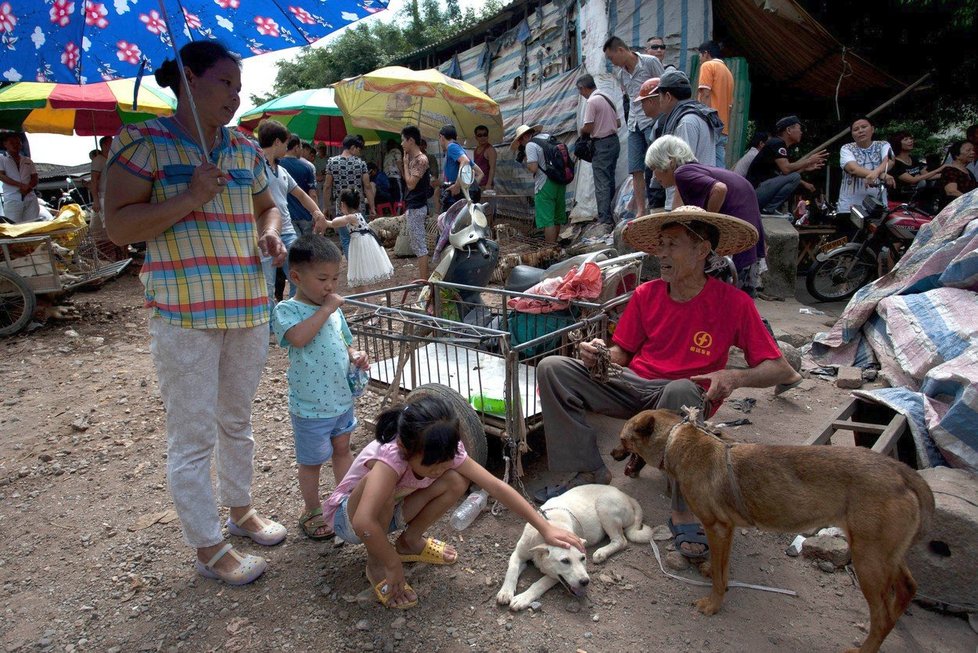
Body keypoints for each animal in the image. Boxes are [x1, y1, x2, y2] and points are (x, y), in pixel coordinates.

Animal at [496, 482, 648, 608]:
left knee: (621, 540)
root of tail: (625, 495)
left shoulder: (554, 575)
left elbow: (540, 583)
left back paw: (602, 553)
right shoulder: (518, 553)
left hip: (605, 506)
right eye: (565, 561)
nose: (585, 581)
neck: (551, 528)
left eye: (583, 558)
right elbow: (512, 570)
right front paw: (505, 592)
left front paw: (523, 598)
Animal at [608, 410, 936, 648]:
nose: (611, 453)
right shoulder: (727, 529)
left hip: (868, 559)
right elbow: (721, 566)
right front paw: (714, 573)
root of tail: (900, 471)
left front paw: (714, 604)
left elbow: (720, 576)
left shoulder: (717, 527)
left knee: (881, 618)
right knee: (907, 588)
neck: (677, 441)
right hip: (885, 554)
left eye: (623, 438)